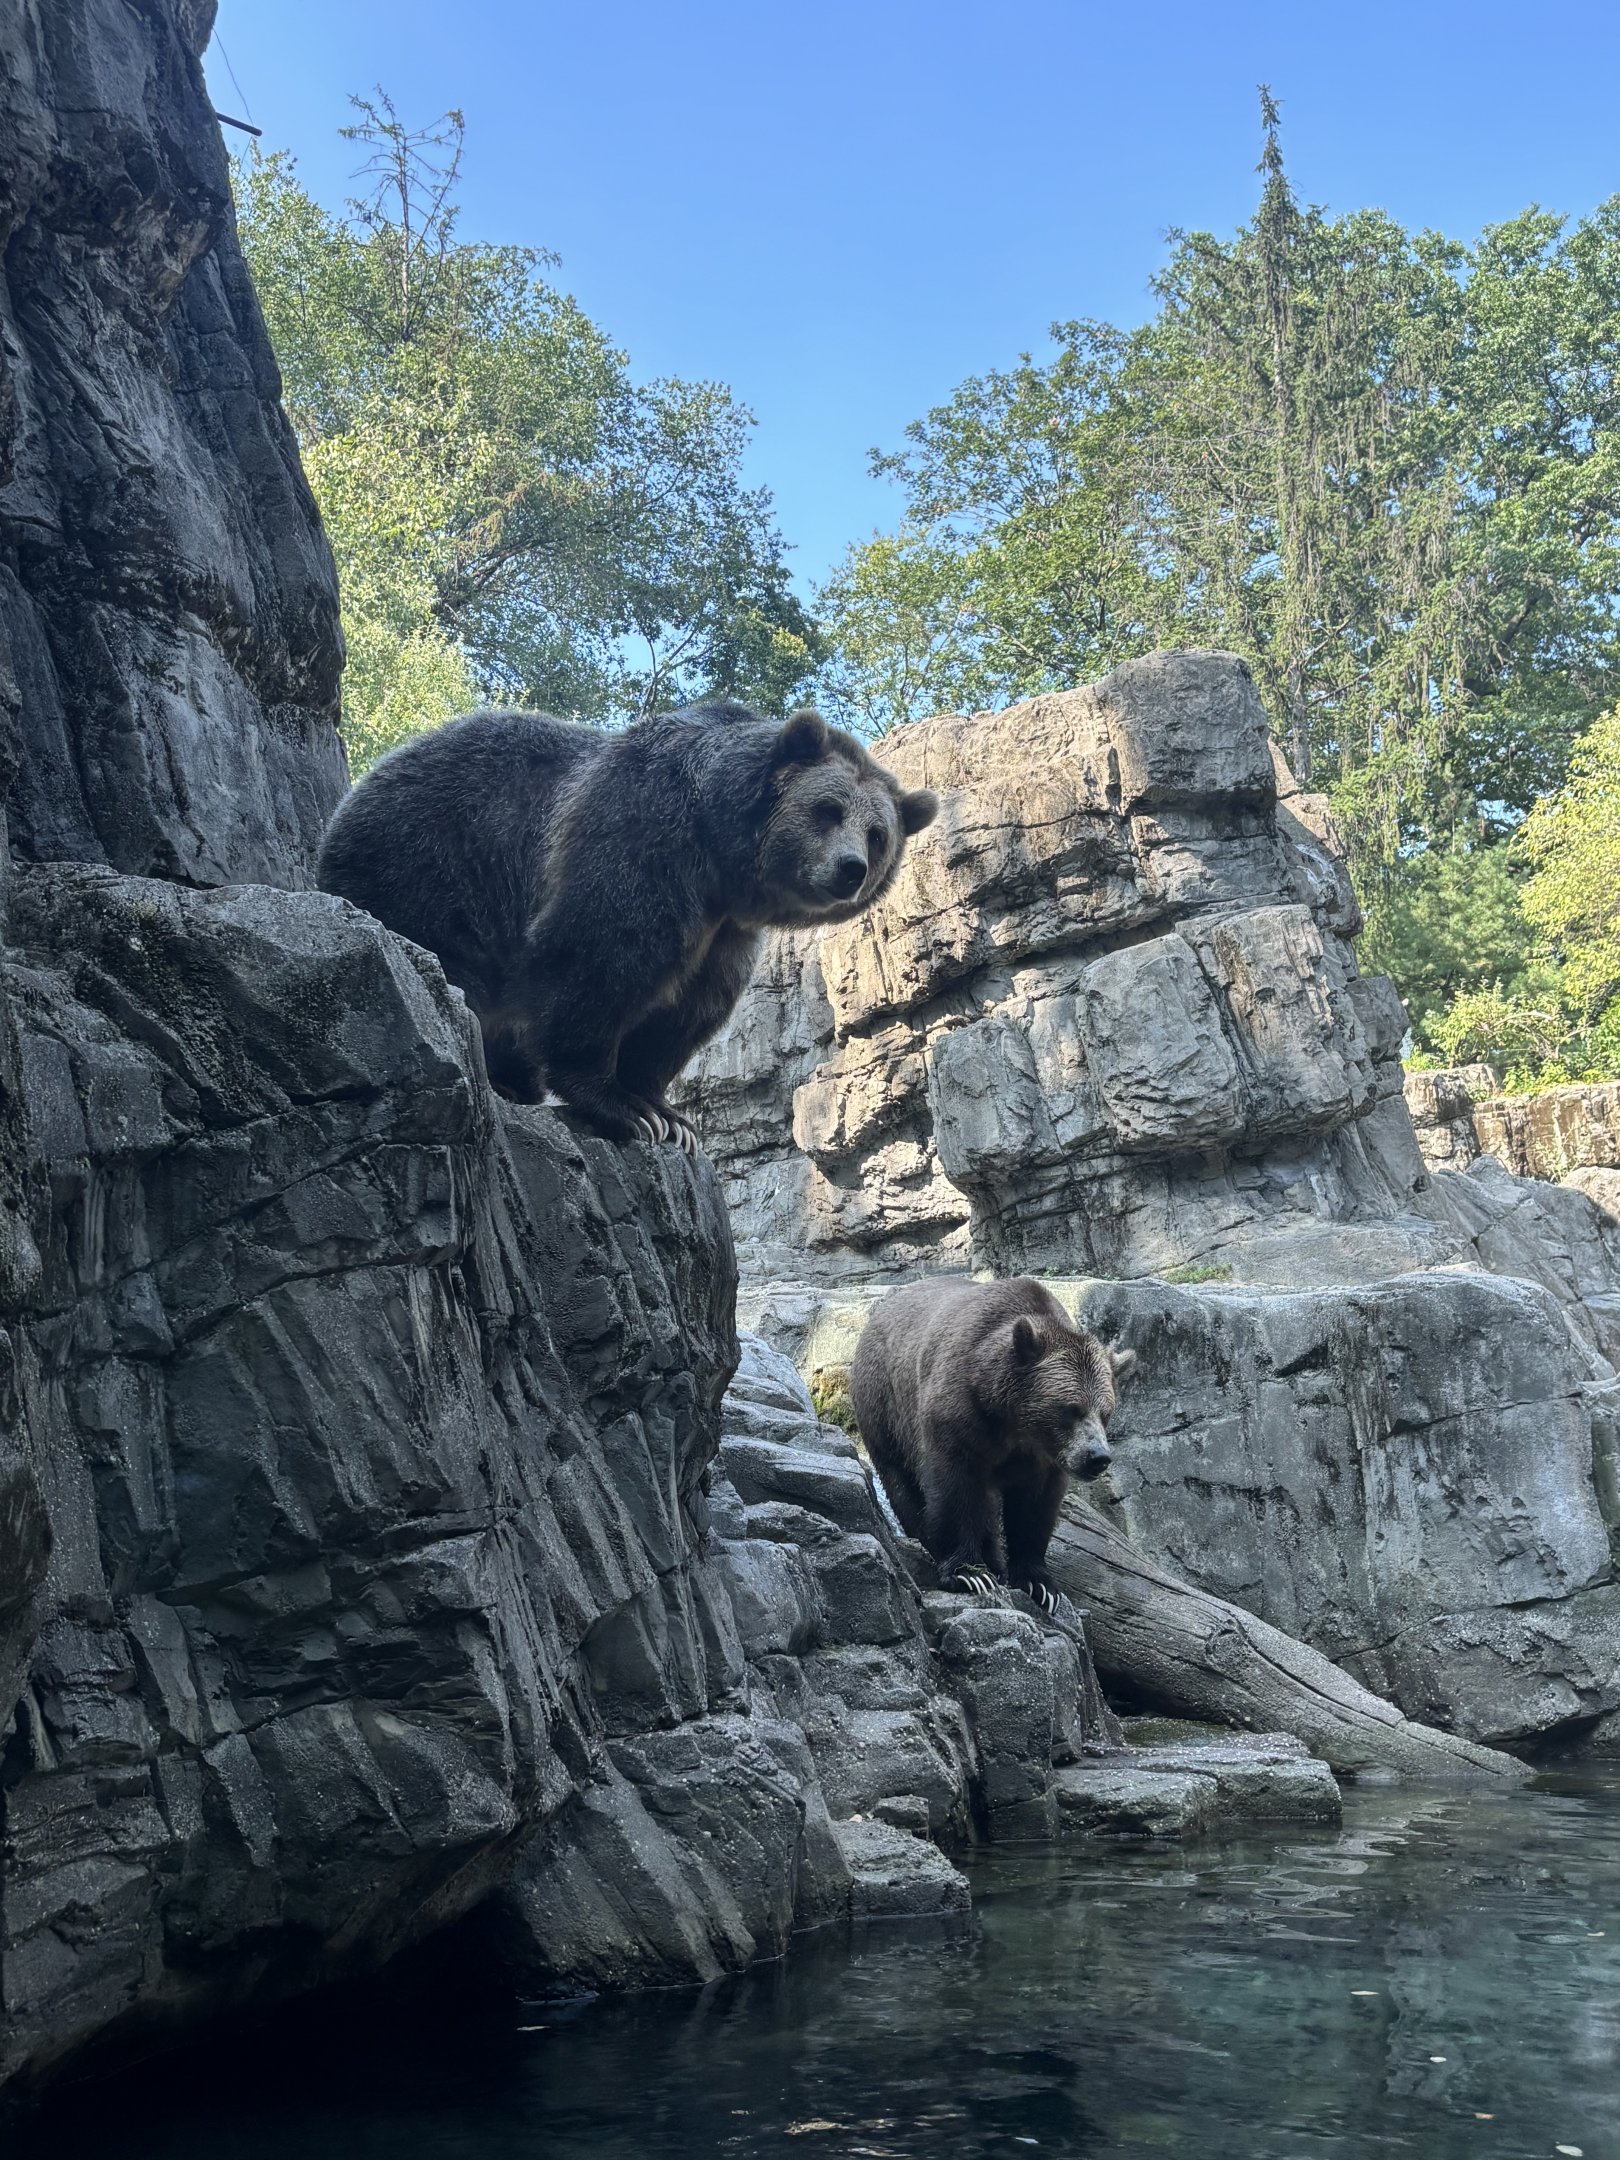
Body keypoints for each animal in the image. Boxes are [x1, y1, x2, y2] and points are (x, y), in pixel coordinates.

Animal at [316, 701, 938, 1148]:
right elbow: (598, 957)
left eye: (877, 834)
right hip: (430, 862)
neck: (720, 855)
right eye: (827, 810)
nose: (851, 869)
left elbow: (687, 1009)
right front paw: (624, 1108)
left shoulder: (724, 930)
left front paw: (668, 1114)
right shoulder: (643, 837)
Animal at [849, 1276, 1136, 1610]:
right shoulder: (957, 1416)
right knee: (901, 1479)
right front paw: (969, 1573)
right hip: (883, 1403)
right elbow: (954, 1485)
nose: (1097, 1457)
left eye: (1106, 1412)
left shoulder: (1044, 1457)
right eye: (1071, 1409)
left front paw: (1041, 1584)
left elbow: (1035, 1506)